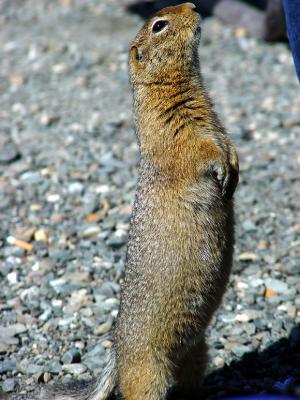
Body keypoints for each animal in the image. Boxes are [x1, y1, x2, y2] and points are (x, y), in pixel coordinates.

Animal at [42, 3, 239, 400]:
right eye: (159, 25)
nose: (195, 6)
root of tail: (117, 356)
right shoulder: (177, 134)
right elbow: (203, 152)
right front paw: (223, 170)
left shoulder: (217, 123)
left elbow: (228, 143)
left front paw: (236, 167)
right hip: (148, 374)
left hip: (197, 352)